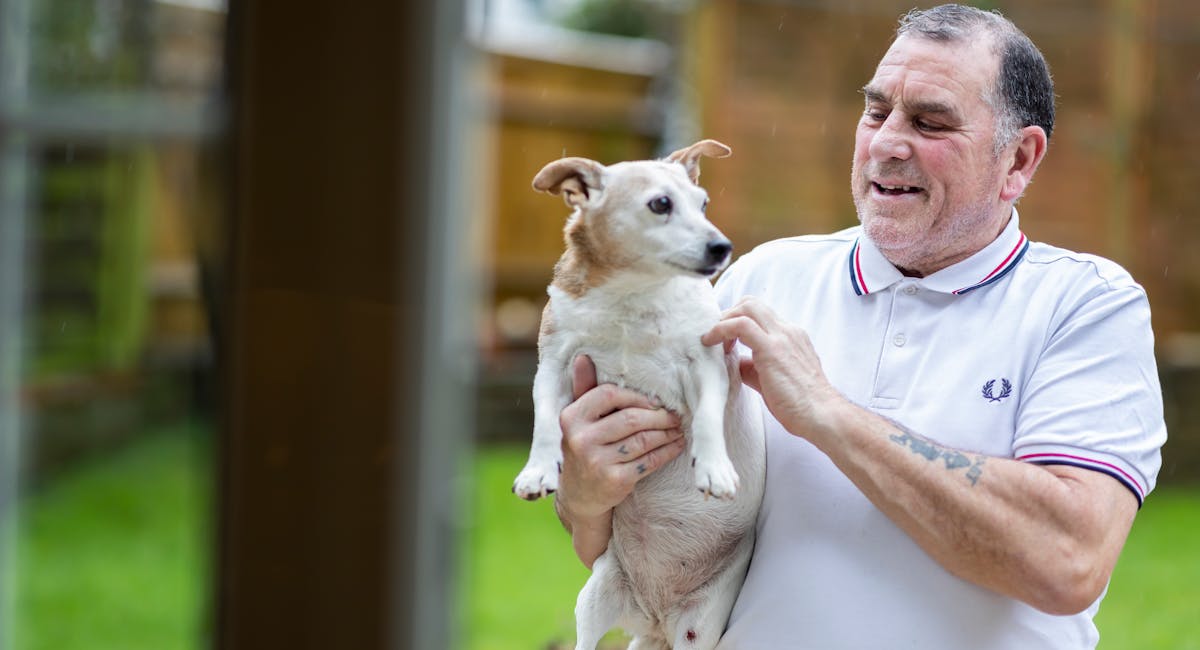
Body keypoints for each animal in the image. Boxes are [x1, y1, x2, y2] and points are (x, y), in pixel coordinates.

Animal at [511, 140, 763, 647]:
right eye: (660, 204)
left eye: (704, 204)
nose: (722, 246)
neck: (634, 295)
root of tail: (656, 617)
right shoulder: (553, 367)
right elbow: (546, 424)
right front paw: (537, 472)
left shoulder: (707, 364)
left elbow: (708, 419)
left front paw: (714, 468)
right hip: (594, 599)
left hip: (700, 627)